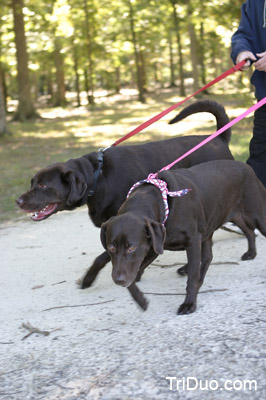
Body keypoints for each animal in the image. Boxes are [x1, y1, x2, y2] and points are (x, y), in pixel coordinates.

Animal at [16, 100, 234, 288]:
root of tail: (219, 138)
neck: (97, 177)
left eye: (43, 185)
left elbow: (104, 255)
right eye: (33, 182)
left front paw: (89, 278)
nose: (18, 201)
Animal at [101, 161, 266, 314]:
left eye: (132, 247)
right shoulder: (152, 247)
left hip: (257, 215)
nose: (117, 280)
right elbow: (132, 277)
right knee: (245, 233)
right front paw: (141, 300)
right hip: (229, 216)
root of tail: (246, 166)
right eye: (111, 247)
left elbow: (192, 278)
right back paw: (251, 253)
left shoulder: (192, 241)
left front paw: (189, 304)